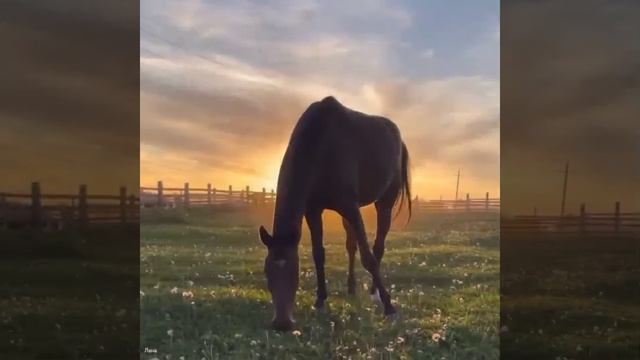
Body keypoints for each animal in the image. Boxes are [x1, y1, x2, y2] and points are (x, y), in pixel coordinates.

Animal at [258, 96, 412, 332]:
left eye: (294, 273)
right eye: (267, 272)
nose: (282, 323)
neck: (321, 146)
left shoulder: (349, 206)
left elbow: (368, 258)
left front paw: (389, 306)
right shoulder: (313, 211)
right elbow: (318, 254)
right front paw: (320, 299)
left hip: (384, 203)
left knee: (378, 246)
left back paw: (374, 292)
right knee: (351, 245)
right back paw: (351, 288)